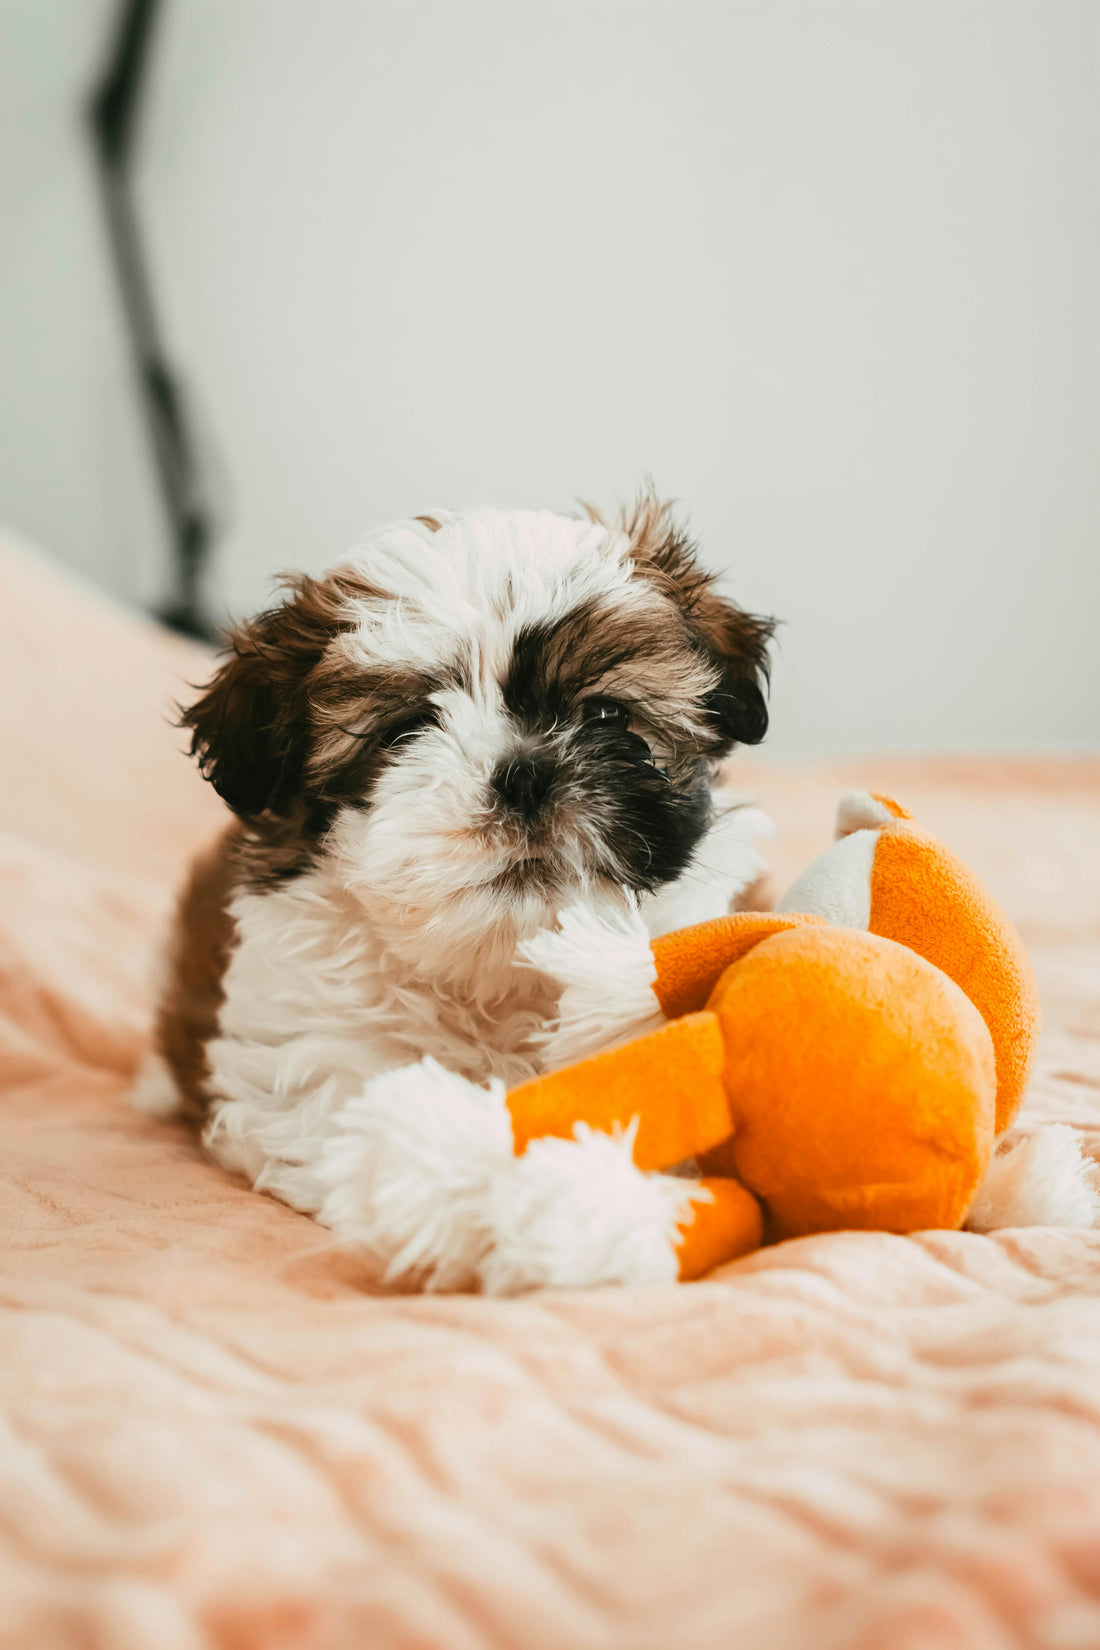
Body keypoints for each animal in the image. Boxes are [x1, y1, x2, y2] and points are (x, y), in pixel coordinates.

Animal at [137, 495, 775, 1293]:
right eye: (408, 729)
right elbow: (397, 1137)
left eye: (605, 716)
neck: (499, 974)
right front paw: (537, 1208)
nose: (525, 773)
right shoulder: (319, 1065)